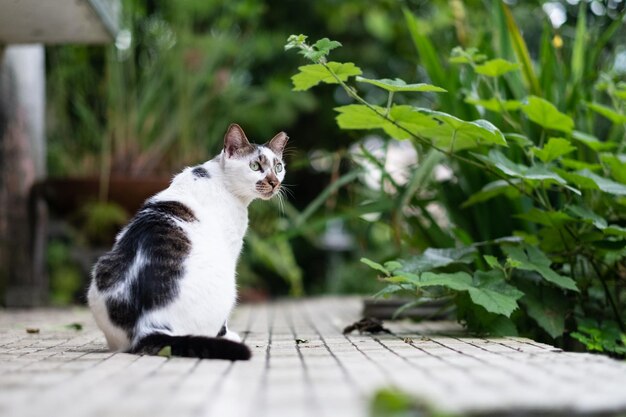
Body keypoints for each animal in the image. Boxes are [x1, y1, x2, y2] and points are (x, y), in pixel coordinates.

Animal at [88, 122, 288, 360]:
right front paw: (228, 334)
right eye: (255, 166)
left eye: (278, 167)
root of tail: (148, 325)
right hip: (227, 280)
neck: (220, 179)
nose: (274, 182)